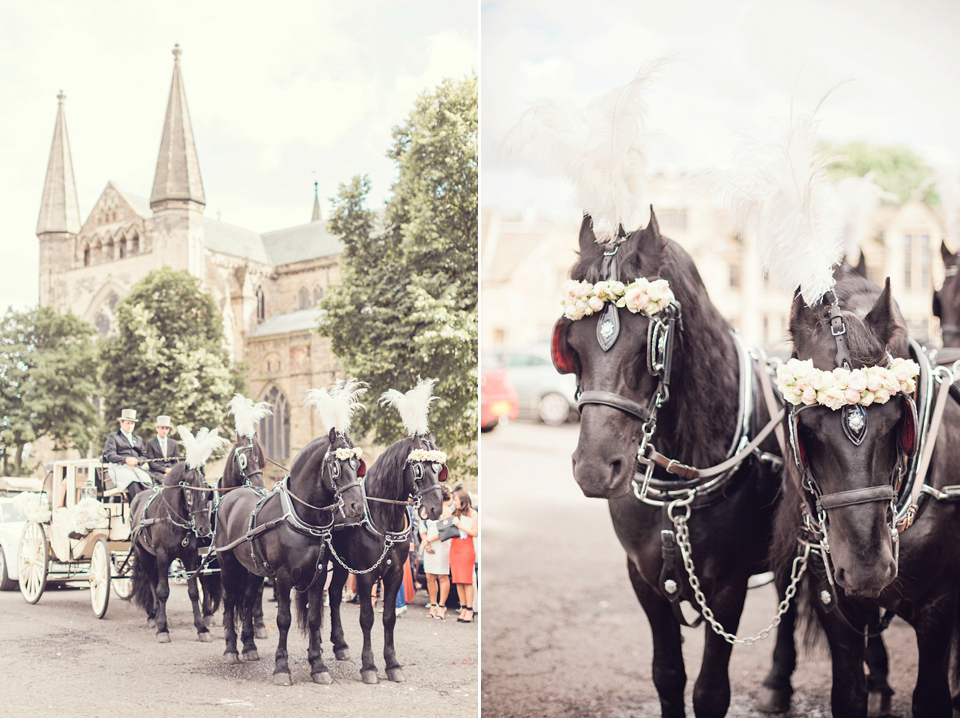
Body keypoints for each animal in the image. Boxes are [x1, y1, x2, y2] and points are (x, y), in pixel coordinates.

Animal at [130, 464, 220, 644]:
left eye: (206, 490)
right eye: (188, 491)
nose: (204, 528)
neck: (172, 519)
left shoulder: (191, 557)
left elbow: (193, 592)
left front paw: (201, 628)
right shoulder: (163, 556)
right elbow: (163, 591)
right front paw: (162, 629)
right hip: (144, 554)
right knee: (152, 581)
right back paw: (154, 615)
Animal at [214, 428, 364, 688]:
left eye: (357, 464)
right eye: (335, 465)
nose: (357, 505)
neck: (302, 515)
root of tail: (230, 497)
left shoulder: (318, 574)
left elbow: (314, 618)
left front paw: (318, 666)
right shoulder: (283, 576)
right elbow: (284, 619)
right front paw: (282, 668)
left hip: (254, 570)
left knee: (247, 600)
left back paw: (249, 646)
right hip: (228, 566)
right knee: (230, 601)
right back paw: (231, 649)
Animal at [320, 434, 444, 688]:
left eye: (438, 468)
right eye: (418, 469)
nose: (436, 508)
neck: (383, 518)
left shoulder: (395, 573)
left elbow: (388, 618)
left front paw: (393, 665)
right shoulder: (366, 574)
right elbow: (367, 618)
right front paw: (369, 666)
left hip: (340, 564)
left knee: (335, 594)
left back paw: (340, 644)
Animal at [552, 214, 792, 718]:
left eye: (652, 342)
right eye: (572, 343)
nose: (594, 469)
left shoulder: (727, 585)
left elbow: (710, 692)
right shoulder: (643, 577)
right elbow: (667, 675)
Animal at [776, 272, 960, 718]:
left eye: (898, 420)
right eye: (806, 429)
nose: (867, 569)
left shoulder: (940, 606)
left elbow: (931, 697)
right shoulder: (835, 606)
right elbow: (847, 695)